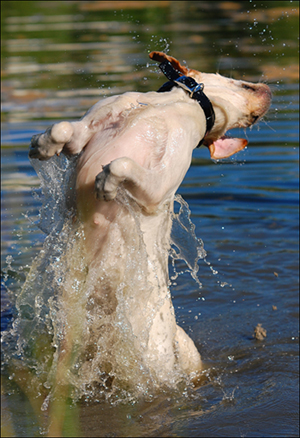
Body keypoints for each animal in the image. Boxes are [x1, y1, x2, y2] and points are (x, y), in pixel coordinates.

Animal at [29, 53, 270, 388]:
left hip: (150, 357)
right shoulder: (91, 126)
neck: (174, 106)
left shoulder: (157, 188)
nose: (270, 92)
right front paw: (42, 145)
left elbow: (121, 164)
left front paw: (106, 183)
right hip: (71, 330)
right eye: (244, 83)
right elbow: (64, 129)